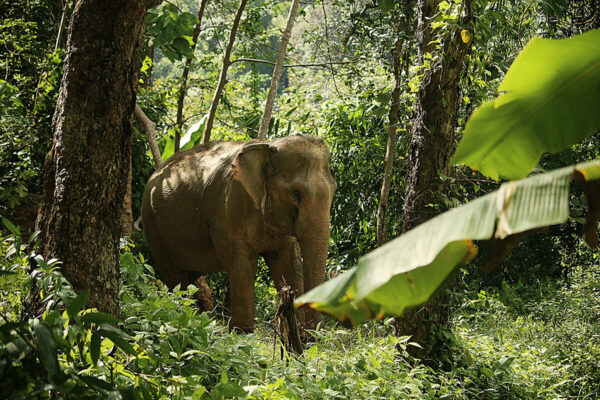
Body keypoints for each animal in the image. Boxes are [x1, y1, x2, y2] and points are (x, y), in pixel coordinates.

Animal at [142, 134, 338, 332]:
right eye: (296, 192)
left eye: (334, 190)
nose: (312, 330)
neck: (268, 147)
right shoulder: (227, 209)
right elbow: (242, 265)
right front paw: (242, 334)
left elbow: (287, 263)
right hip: (154, 231)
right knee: (176, 279)